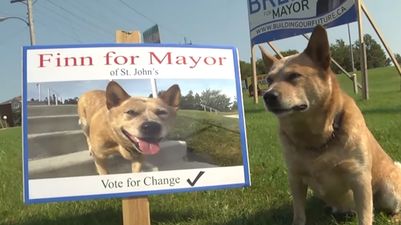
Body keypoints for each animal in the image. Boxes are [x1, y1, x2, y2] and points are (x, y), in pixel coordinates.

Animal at [260, 25, 400, 225]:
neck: (314, 137)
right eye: (269, 80)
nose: (267, 96)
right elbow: (299, 213)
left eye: (294, 75)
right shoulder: (295, 178)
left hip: (389, 189)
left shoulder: (359, 178)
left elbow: (365, 215)